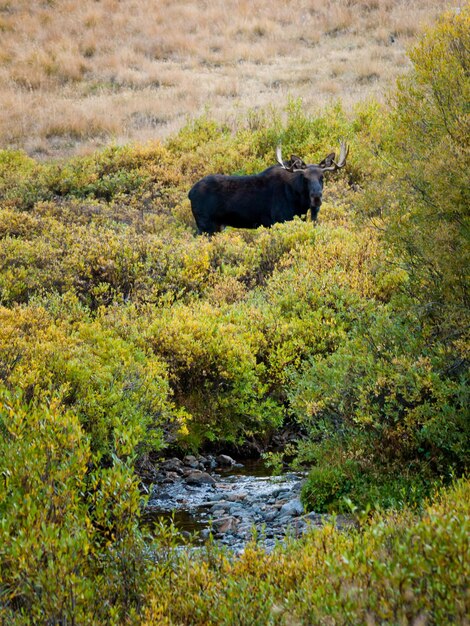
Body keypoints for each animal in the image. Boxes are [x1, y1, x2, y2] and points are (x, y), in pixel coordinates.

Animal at [188, 141, 348, 234]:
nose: (316, 197)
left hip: (217, 226)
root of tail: (190, 193)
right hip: (205, 225)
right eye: (305, 178)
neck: (299, 204)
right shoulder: (278, 220)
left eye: (322, 177)